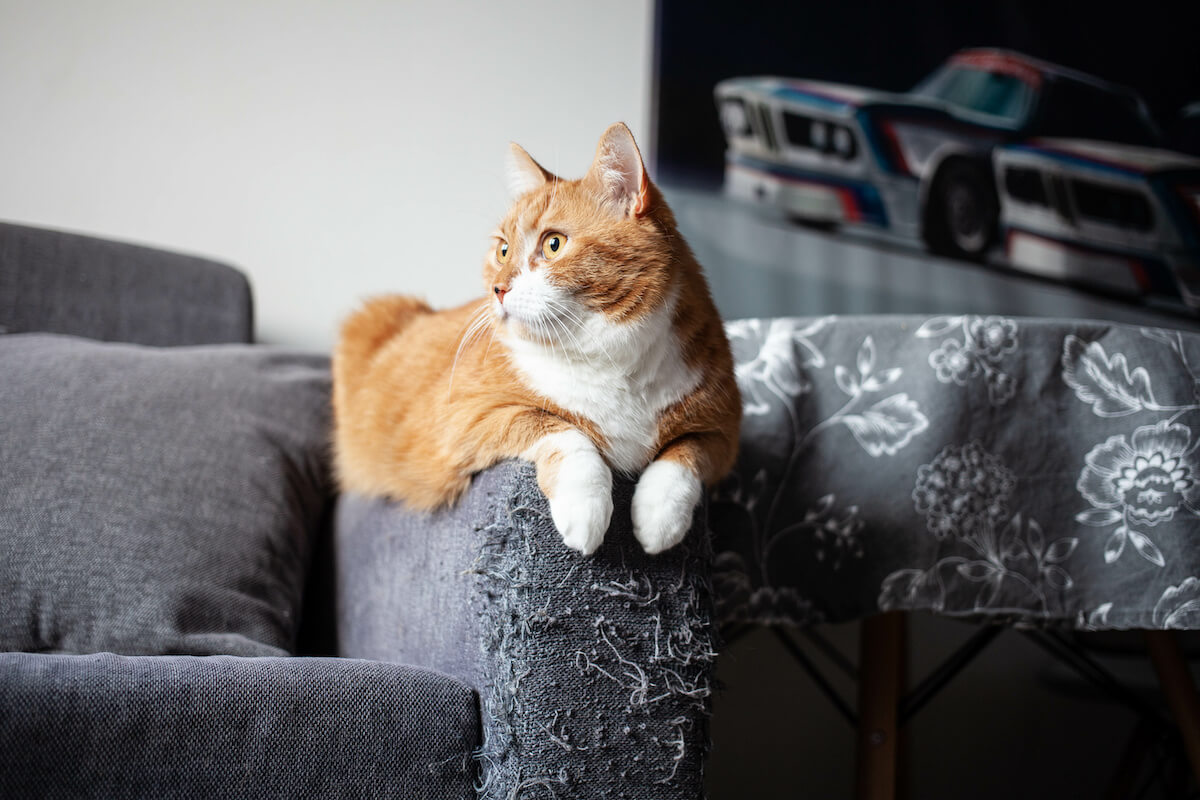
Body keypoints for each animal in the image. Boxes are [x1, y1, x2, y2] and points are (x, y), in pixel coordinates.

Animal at [331, 123, 739, 556]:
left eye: (553, 244)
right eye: (503, 250)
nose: (497, 289)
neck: (610, 360)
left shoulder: (726, 434)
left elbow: (687, 452)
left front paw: (660, 515)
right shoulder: (465, 416)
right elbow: (556, 427)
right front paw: (585, 508)